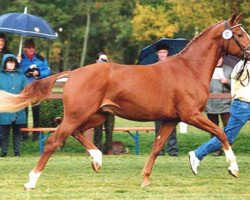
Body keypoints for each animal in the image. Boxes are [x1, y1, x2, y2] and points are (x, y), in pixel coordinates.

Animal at [0, 12, 249, 189]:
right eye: (240, 35)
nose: (249, 52)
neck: (189, 69)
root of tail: (73, 73)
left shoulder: (171, 119)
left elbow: (157, 146)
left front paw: (145, 179)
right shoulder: (191, 115)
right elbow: (222, 134)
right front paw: (234, 169)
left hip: (97, 115)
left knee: (74, 131)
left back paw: (97, 159)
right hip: (79, 114)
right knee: (54, 140)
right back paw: (31, 181)